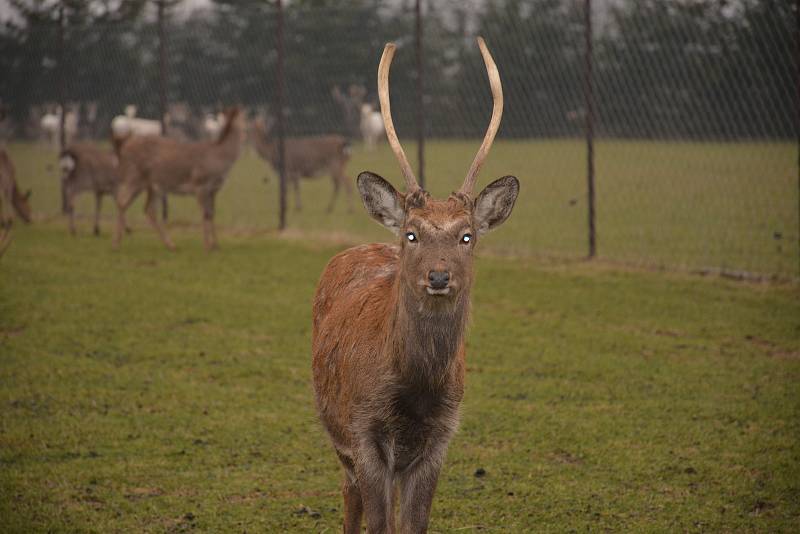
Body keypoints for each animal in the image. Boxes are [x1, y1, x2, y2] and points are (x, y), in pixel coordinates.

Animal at [112, 108, 244, 253]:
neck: (221, 160)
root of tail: (123, 148)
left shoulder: (214, 190)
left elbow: (211, 214)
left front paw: (216, 245)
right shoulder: (200, 183)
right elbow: (205, 214)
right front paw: (207, 246)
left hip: (152, 185)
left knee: (148, 209)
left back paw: (170, 245)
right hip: (133, 177)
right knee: (121, 202)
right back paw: (116, 243)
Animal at [310, 38, 520, 534]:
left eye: (467, 236)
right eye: (411, 234)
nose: (439, 276)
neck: (416, 392)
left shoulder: (442, 435)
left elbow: (413, 524)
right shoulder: (363, 431)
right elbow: (378, 523)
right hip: (337, 434)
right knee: (349, 497)